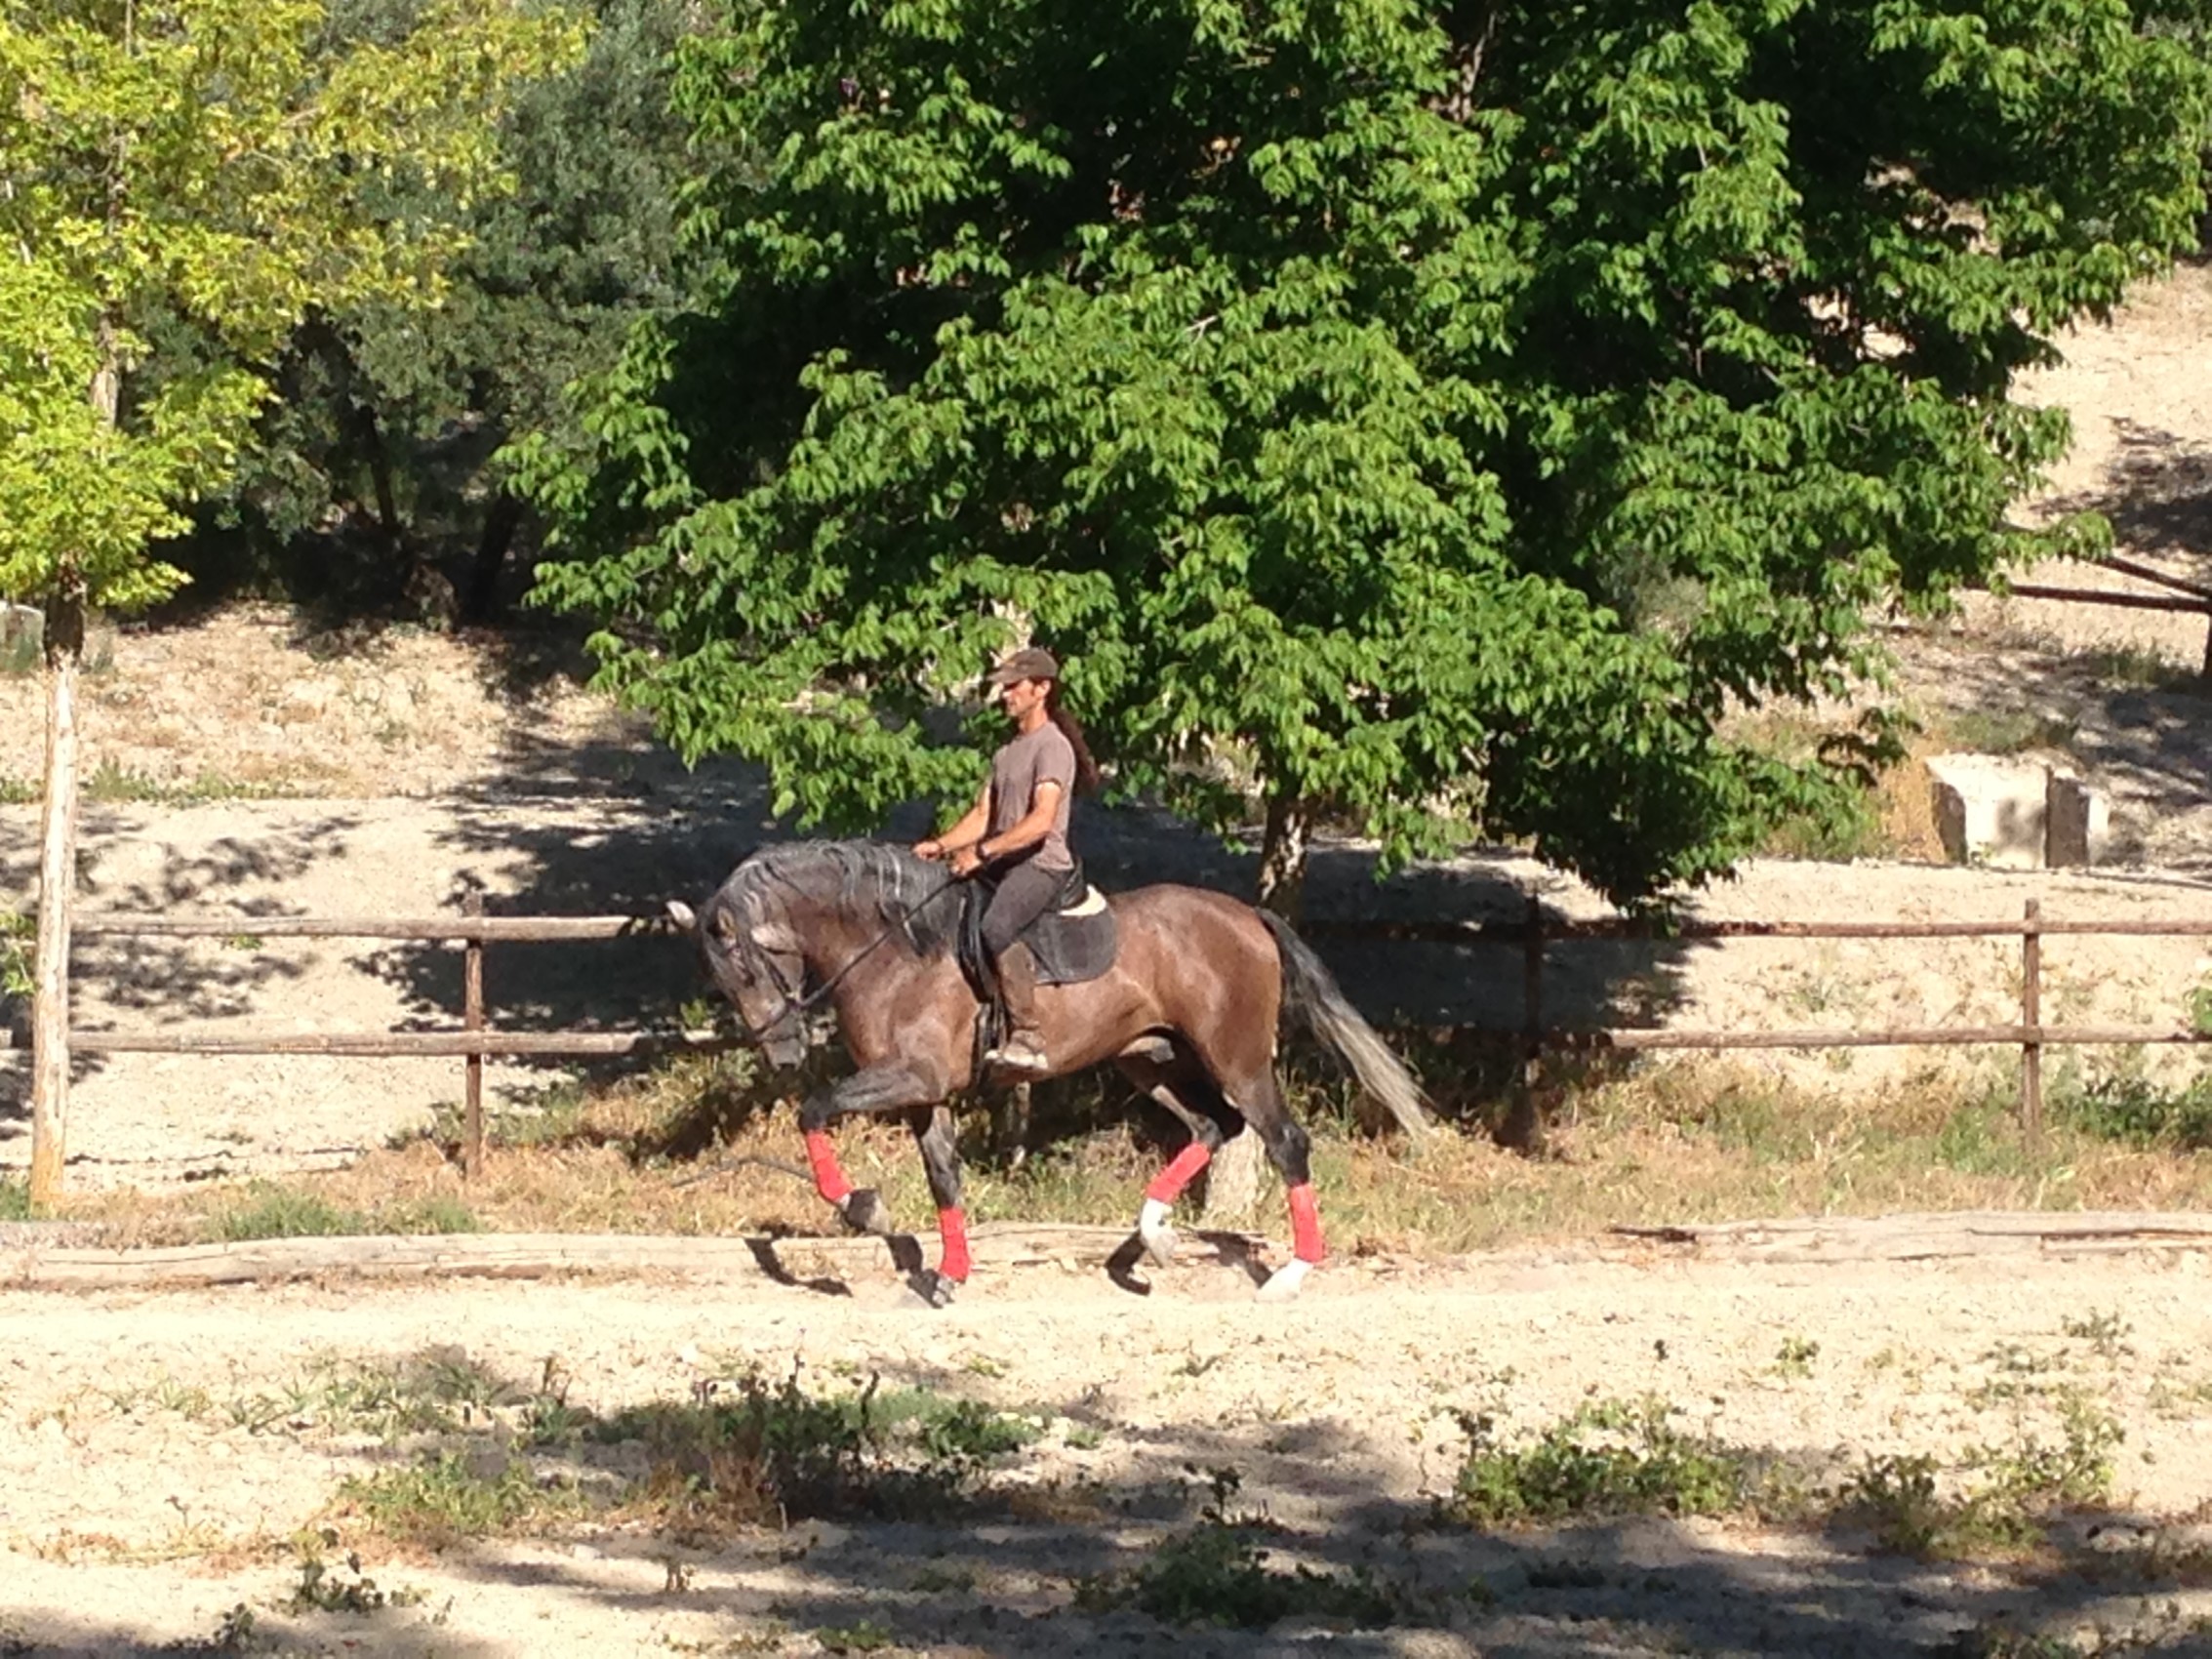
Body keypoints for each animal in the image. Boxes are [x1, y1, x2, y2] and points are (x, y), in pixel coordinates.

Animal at [667, 849, 1433, 1309]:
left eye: (744, 969)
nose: (781, 1054)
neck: (892, 951)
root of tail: (1246, 915)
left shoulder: (910, 1075)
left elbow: (814, 1110)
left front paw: (862, 1205)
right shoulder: (923, 1094)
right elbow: (943, 1176)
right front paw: (944, 1276)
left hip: (1235, 1056)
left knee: (1281, 1139)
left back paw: (1289, 1276)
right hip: (1148, 1058)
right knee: (1214, 1126)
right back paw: (1154, 1237)